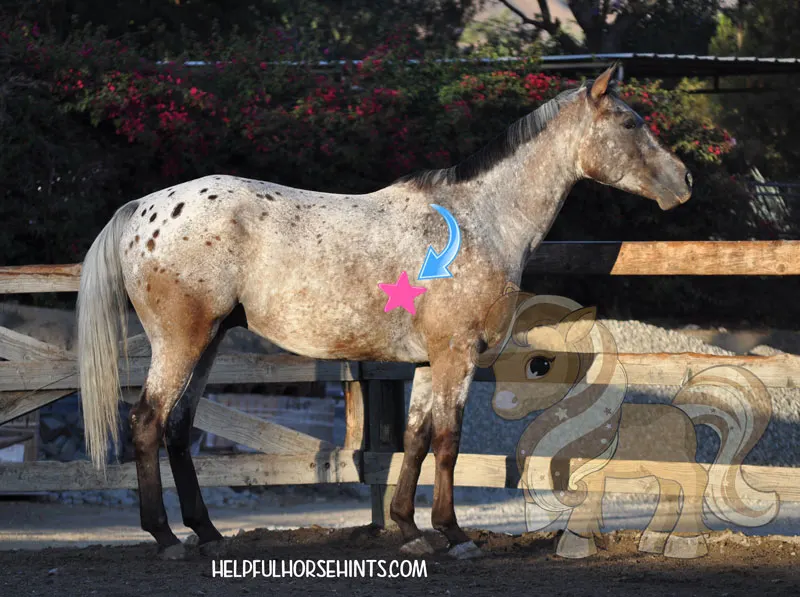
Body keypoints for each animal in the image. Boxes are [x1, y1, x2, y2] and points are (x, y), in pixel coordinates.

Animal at [76, 64, 692, 560]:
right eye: (630, 123)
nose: (684, 181)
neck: (479, 222)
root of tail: (143, 209)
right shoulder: (456, 356)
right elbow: (448, 442)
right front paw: (454, 534)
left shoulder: (426, 363)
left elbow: (415, 441)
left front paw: (409, 530)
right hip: (181, 342)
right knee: (148, 422)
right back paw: (165, 538)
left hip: (209, 342)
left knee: (178, 428)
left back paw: (206, 534)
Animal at [478, 288, 780, 560]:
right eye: (497, 365)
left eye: (540, 364)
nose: (503, 405)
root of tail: (684, 415)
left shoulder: (589, 475)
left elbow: (586, 504)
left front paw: (574, 547)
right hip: (663, 470)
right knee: (669, 491)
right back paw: (653, 541)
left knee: (697, 479)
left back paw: (685, 544)